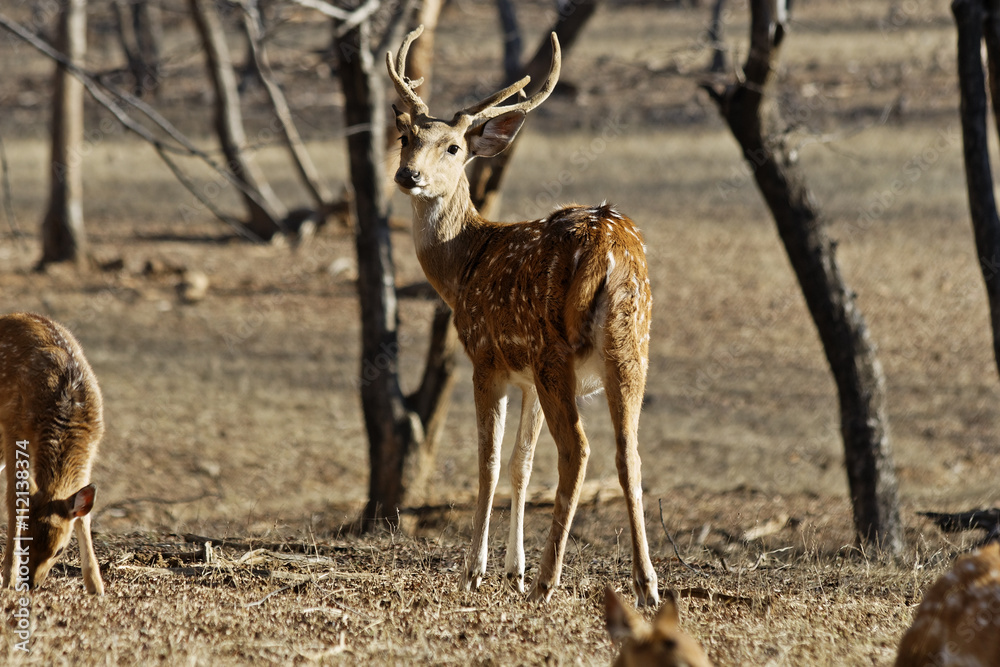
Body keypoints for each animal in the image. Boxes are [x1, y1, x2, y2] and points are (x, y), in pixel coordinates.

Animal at [0, 312, 105, 595]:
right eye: (25, 541)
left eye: (59, 551)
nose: (32, 583)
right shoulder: (13, 429)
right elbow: (15, 500)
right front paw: (8, 578)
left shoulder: (93, 446)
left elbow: (84, 517)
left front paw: (96, 586)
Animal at [388, 26, 659, 605]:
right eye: (405, 138)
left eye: (454, 147)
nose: (408, 175)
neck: (463, 266)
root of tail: (609, 247)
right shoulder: (528, 377)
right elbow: (522, 463)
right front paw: (511, 568)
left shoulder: (487, 359)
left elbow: (490, 462)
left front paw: (476, 570)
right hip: (630, 343)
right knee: (628, 453)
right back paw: (646, 584)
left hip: (554, 351)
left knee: (578, 450)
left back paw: (546, 582)